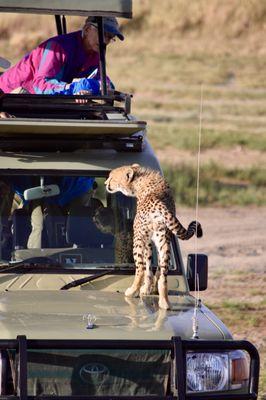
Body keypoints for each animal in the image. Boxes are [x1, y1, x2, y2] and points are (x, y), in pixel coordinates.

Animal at [105, 162, 203, 310]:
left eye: (112, 177)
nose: (106, 183)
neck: (139, 179)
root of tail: (159, 203)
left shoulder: (145, 238)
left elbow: (147, 266)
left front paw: (145, 289)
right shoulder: (157, 239)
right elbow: (154, 267)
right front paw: (149, 289)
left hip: (137, 239)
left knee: (139, 269)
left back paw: (132, 291)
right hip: (164, 242)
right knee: (163, 275)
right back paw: (164, 302)